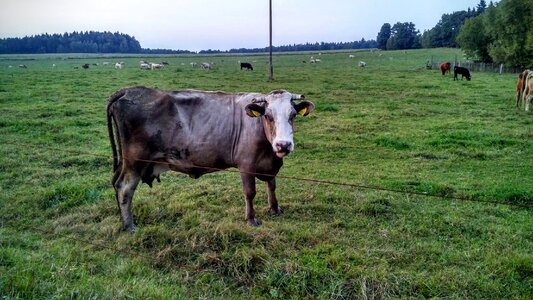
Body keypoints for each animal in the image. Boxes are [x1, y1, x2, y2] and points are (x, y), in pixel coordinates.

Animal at [107, 85, 316, 231]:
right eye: (268, 116)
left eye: (293, 115)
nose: (283, 145)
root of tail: (128, 91)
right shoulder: (246, 165)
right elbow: (250, 193)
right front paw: (251, 219)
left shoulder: (269, 165)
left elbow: (272, 186)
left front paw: (275, 209)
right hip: (134, 162)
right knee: (124, 188)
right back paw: (129, 226)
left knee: (117, 184)